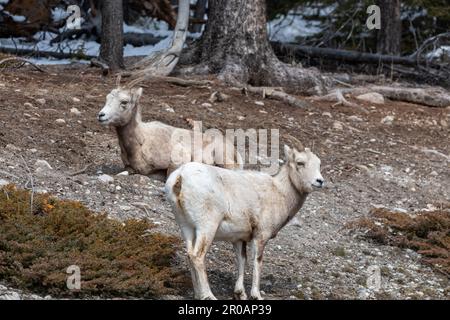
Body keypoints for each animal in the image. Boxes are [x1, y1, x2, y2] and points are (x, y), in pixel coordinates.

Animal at [165, 144, 324, 298]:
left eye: (318, 164)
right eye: (300, 163)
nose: (320, 181)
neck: (279, 193)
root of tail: (180, 176)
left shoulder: (239, 239)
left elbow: (242, 260)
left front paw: (240, 293)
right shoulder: (261, 236)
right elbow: (257, 261)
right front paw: (256, 295)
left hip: (186, 227)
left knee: (189, 255)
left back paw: (198, 295)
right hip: (207, 227)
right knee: (197, 256)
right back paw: (208, 295)